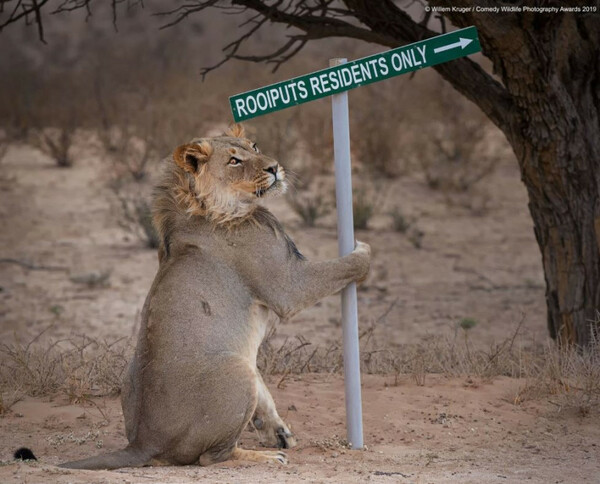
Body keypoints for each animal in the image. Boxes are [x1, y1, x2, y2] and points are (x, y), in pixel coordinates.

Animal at [59, 125, 370, 468]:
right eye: (234, 161)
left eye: (254, 146)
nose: (275, 167)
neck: (217, 208)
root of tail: (143, 443)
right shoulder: (289, 285)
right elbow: (347, 265)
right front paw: (364, 249)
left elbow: (265, 395)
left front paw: (278, 431)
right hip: (236, 371)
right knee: (214, 456)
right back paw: (266, 457)